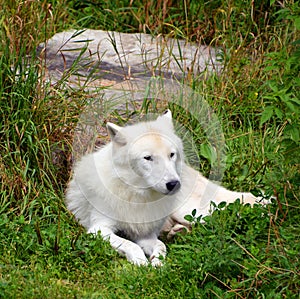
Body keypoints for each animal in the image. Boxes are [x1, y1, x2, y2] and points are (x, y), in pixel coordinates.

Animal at [65, 110, 264, 268]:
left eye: (171, 154)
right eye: (148, 158)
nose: (174, 184)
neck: (135, 195)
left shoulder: (145, 233)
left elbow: (160, 246)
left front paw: (157, 261)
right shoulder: (98, 228)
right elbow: (131, 244)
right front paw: (141, 262)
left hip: (192, 211)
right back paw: (176, 232)